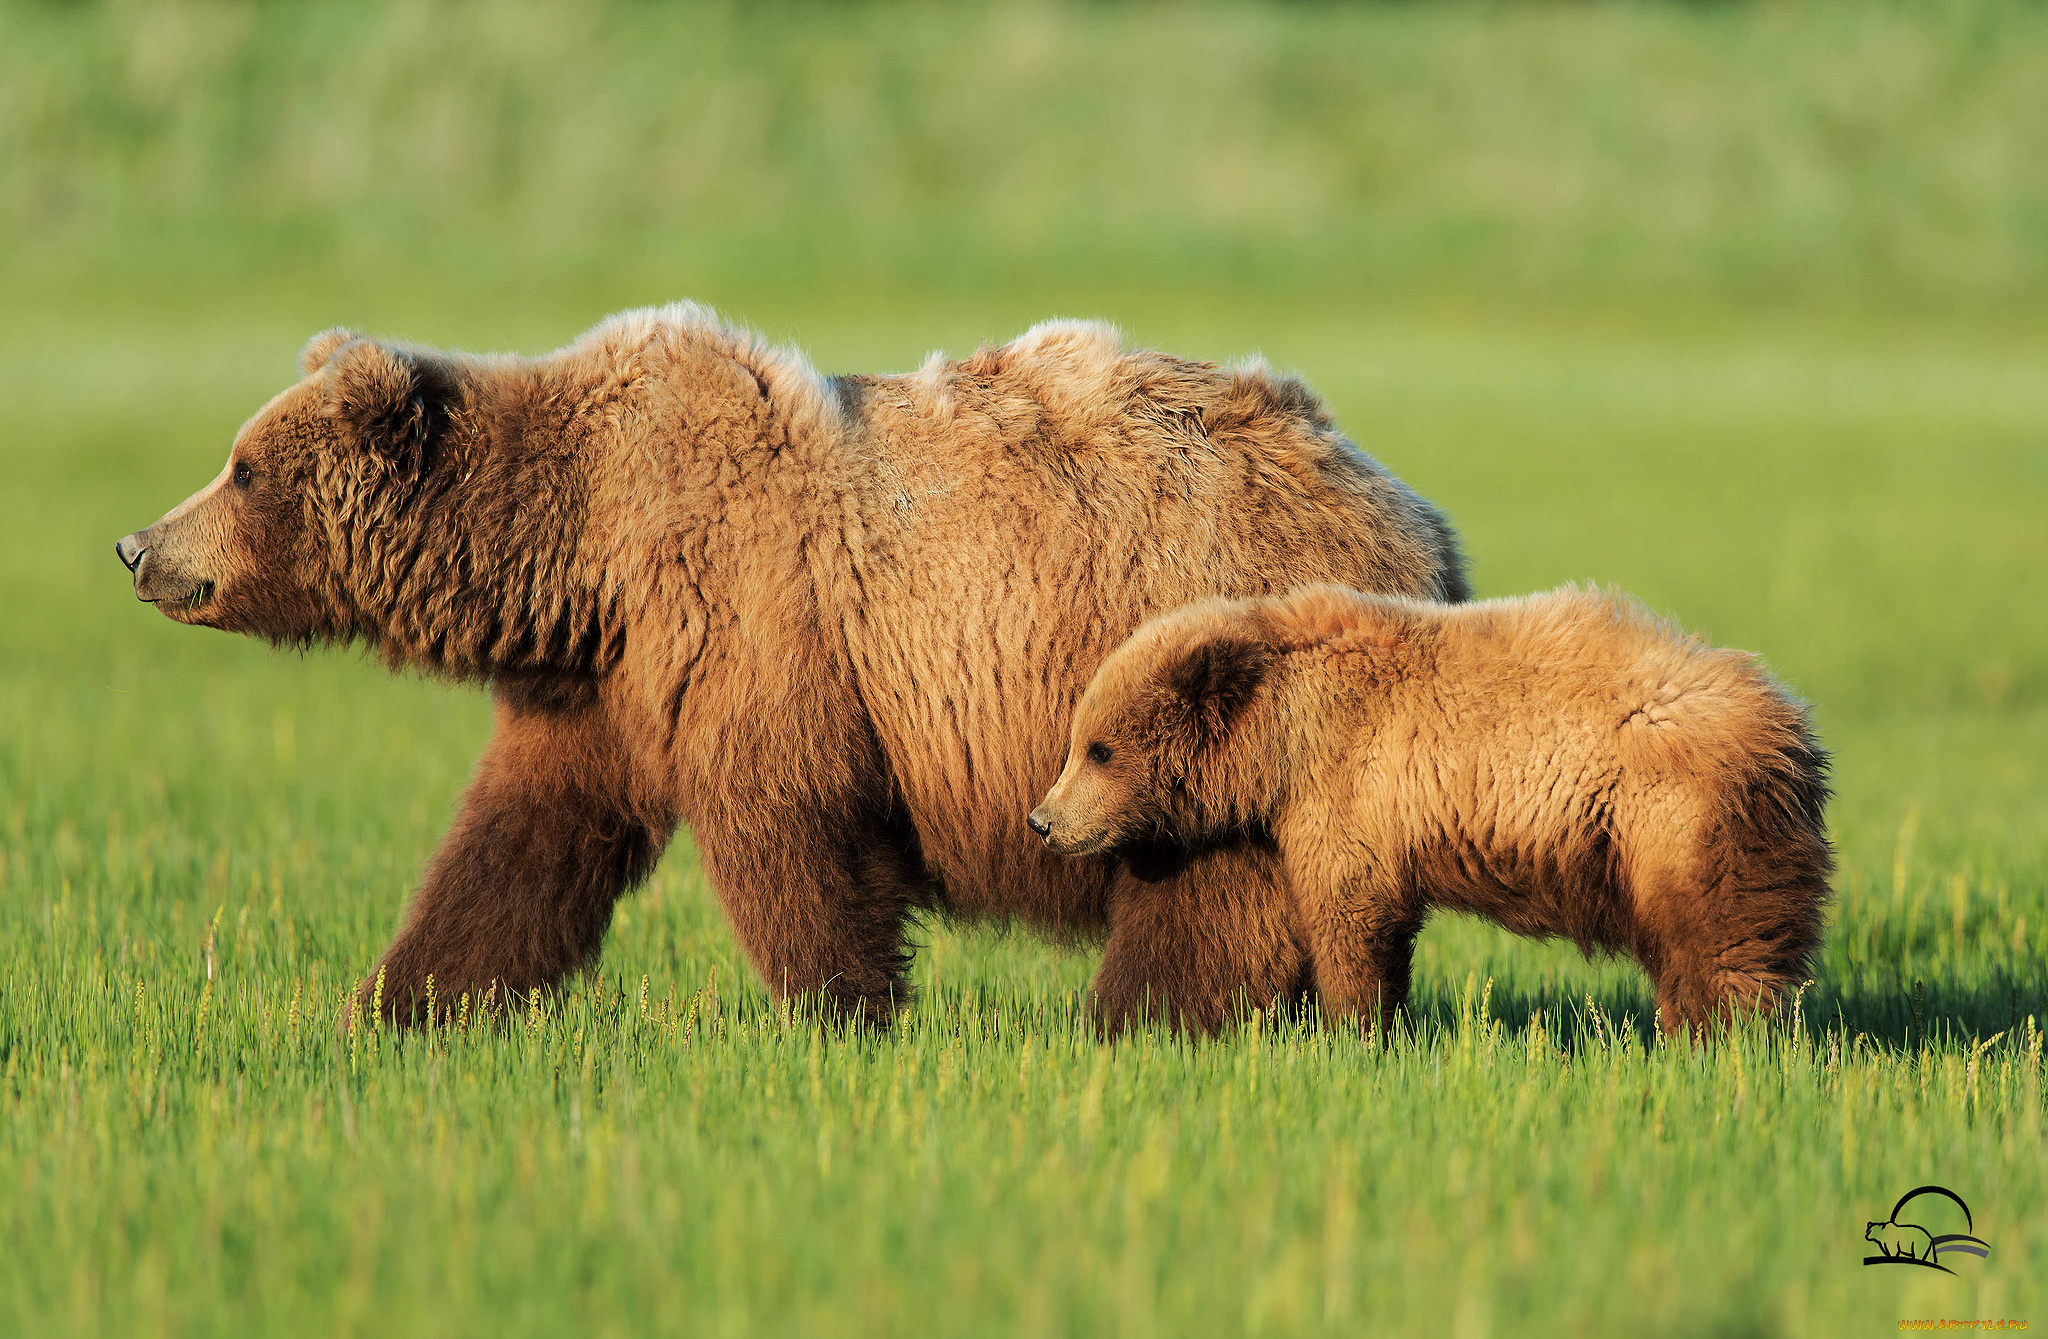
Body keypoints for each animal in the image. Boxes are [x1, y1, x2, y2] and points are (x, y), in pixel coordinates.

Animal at [112, 307, 1466, 1040]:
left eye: (240, 467)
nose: (137, 547)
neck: (583, 550)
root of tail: (1421, 519)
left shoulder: (753, 621)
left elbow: (790, 828)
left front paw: (840, 1018)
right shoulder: (603, 689)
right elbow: (519, 847)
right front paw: (395, 1008)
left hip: (1196, 667)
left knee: (1203, 881)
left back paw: (1135, 1021)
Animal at [1032, 581, 1835, 1031]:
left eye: (1099, 749)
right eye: (1077, 741)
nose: (1043, 821)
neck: (1279, 734)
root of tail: (1794, 731)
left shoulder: (1347, 786)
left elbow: (1351, 915)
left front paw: (1354, 1027)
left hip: (1675, 821)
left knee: (1719, 947)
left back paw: (1714, 1042)